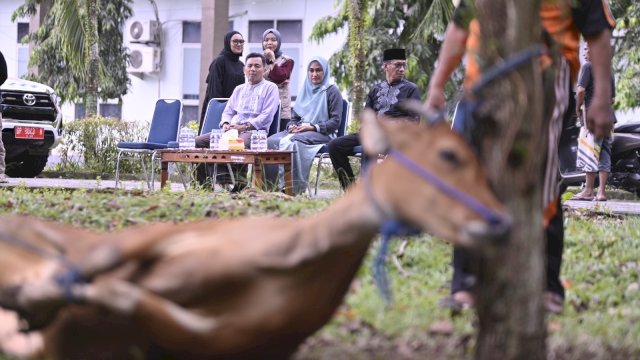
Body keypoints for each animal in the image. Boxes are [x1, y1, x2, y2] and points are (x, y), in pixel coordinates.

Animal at [0, 111, 510, 358]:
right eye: (449, 154)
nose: (498, 220)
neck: (291, 261)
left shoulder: (232, 340)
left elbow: (125, 299)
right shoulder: (159, 238)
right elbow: (102, 262)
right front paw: (38, 296)